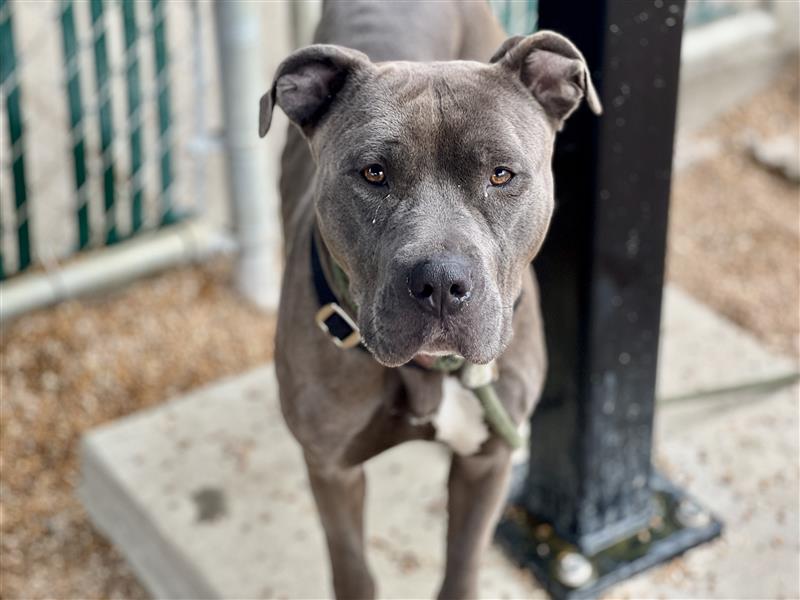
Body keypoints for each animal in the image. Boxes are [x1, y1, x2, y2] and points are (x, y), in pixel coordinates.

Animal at [260, 2, 604, 596]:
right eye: (373, 173)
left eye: (501, 174)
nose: (440, 282)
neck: (429, 368)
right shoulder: (332, 468)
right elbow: (353, 570)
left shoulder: (488, 461)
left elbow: (462, 563)